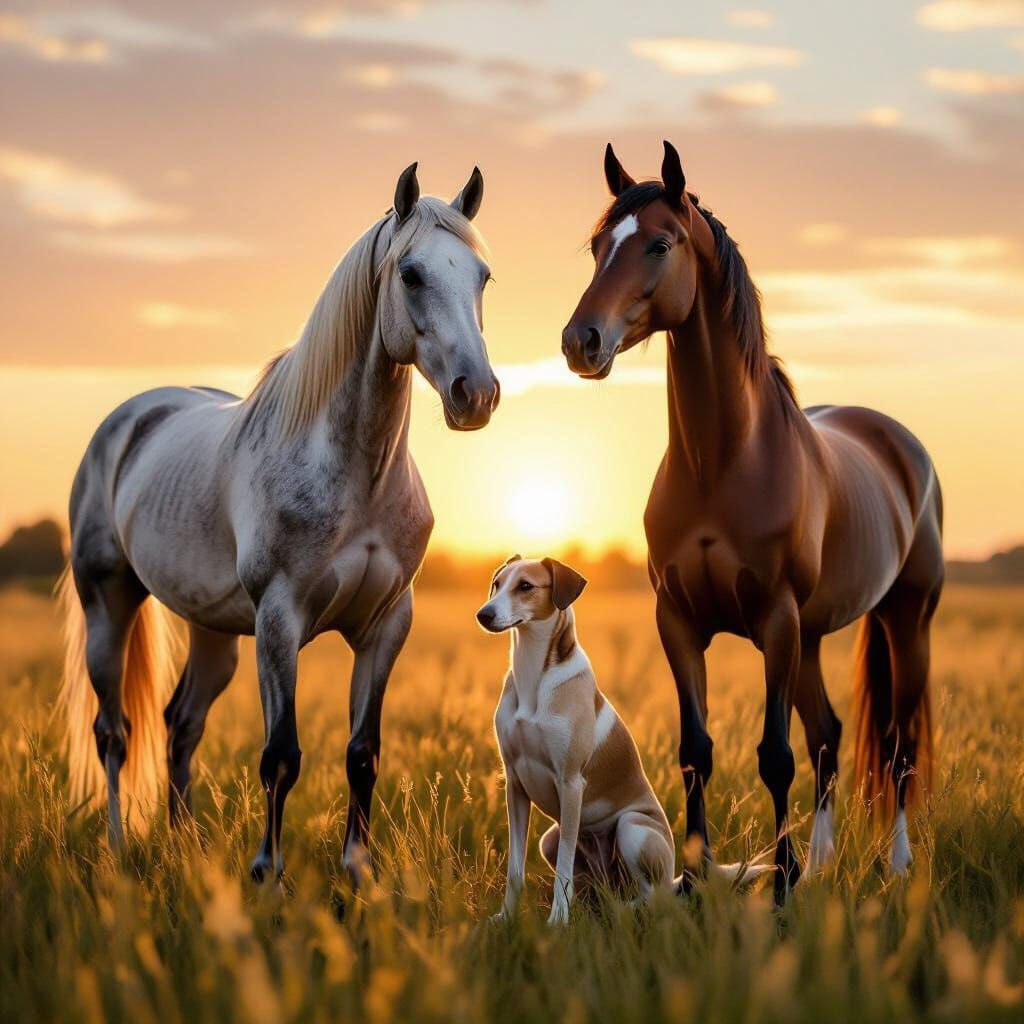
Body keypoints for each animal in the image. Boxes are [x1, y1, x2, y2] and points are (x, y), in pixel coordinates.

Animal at [59, 163, 499, 884]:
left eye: (482, 276)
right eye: (410, 274)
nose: (477, 394)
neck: (356, 473)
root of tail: (129, 418)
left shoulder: (386, 626)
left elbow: (362, 753)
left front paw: (358, 873)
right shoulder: (279, 620)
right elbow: (280, 755)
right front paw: (268, 872)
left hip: (213, 630)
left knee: (181, 723)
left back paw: (185, 847)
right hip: (109, 604)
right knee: (114, 732)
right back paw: (119, 849)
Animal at [561, 142, 943, 903]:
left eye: (659, 243)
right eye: (597, 245)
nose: (580, 341)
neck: (722, 461)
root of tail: (900, 443)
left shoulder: (775, 619)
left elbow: (774, 756)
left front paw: (783, 885)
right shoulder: (680, 622)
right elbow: (696, 752)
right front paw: (696, 875)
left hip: (901, 621)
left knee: (897, 746)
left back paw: (894, 864)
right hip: (813, 637)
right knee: (829, 735)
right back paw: (824, 863)